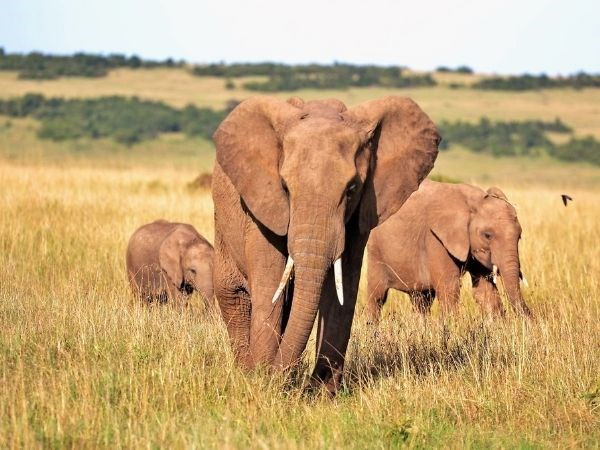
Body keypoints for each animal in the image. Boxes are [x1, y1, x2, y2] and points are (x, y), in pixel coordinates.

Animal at [211, 96, 440, 394]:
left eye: (351, 189)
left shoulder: (359, 215)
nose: (274, 376)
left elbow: (343, 289)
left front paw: (321, 393)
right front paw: (263, 382)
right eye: (285, 187)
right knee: (234, 295)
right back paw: (246, 373)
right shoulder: (262, 206)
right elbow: (270, 284)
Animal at [364, 179, 532, 324]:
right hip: (375, 250)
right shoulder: (435, 238)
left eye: (519, 236)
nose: (530, 320)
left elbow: (484, 290)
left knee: (421, 300)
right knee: (377, 297)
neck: (473, 202)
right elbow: (449, 288)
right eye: (487, 235)